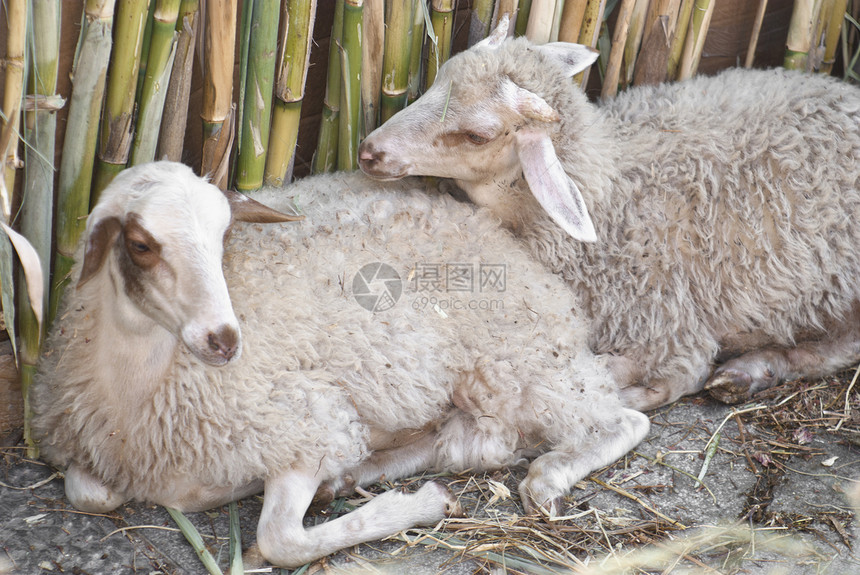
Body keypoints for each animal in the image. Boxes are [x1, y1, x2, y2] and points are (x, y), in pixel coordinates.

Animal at [35, 161, 652, 568]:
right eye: (141, 244)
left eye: (224, 236)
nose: (224, 340)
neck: (142, 387)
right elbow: (90, 494)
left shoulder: (307, 422)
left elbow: (282, 541)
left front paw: (421, 506)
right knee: (462, 441)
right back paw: (356, 476)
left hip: (516, 360)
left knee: (617, 421)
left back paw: (546, 478)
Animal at [358, 19, 860, 414]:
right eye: (439, 78)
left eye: (477, 135)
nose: (368, 151)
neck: (611, 189)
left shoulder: (666, 321)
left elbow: (670, 372)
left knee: (840, 347)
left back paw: (749, 372)